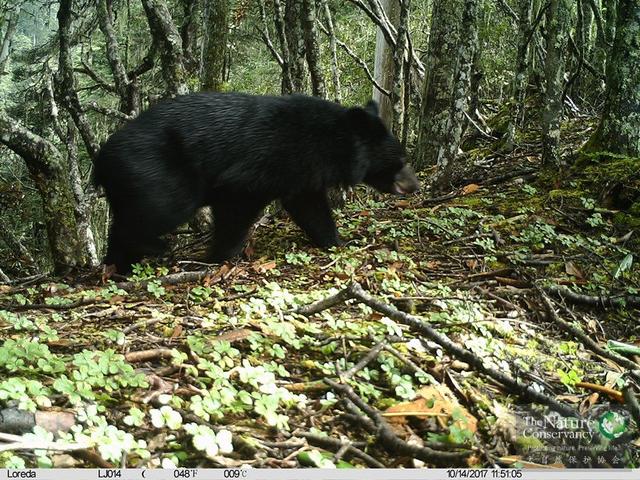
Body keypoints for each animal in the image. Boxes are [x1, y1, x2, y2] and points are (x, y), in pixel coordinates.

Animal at [92, 92, 418, 272]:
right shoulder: (260, 166)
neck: (330, 144)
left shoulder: (303, 175)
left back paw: (119, 266)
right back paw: (156, 247)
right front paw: (218, 256)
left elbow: (310, 208)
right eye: (401, 161)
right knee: (159, 211)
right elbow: (237, 207)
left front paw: (338, 242)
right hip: (158, 174)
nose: (415, 185)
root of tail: (100, 161)